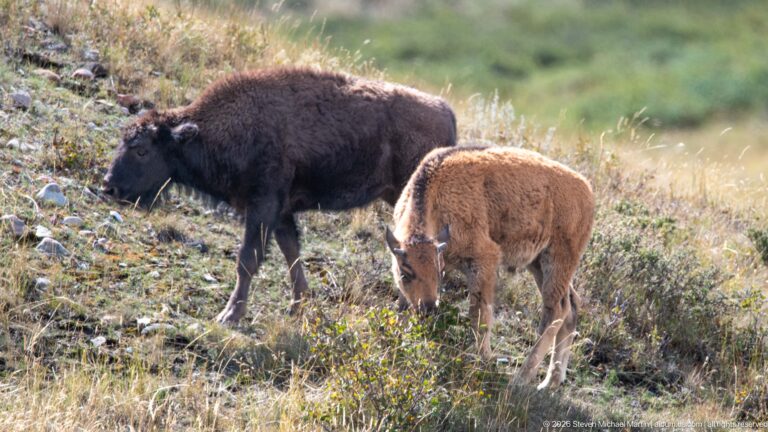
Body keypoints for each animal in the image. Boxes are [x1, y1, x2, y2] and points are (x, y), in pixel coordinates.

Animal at [103, 67, 457, 323]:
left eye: (142, 150)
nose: (109, 187)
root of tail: (447, 112)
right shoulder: (281, 213)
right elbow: (291, 254)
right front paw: (296, 307)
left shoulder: (263, 207)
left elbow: (248, 259)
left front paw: (229, 316)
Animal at [385, 145, 594, 389]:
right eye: (405, 274)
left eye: (437, 273)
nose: (428, 307)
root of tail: (587, 191)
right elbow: (402, 305)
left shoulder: (484, 260)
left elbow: (479, 313)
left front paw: (482, 360)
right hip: (539, 264)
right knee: (571, 305)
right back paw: (551, 381)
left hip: (557, 261)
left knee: (556, 311)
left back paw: (522, 378)